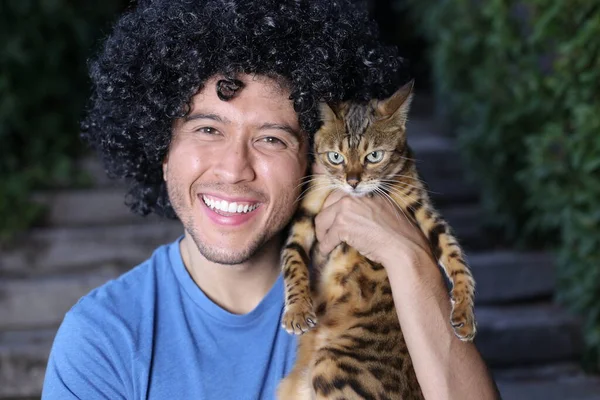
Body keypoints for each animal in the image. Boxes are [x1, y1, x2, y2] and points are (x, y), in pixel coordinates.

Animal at [276, 79, 478, 398]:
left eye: (374, 156)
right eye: (336, 157)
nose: (353, 182)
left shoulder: (425, 210)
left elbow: (456, 259)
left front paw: (464, 313)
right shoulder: (305, 216)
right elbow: (293, 262)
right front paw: (297, 310)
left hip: (331, 364)